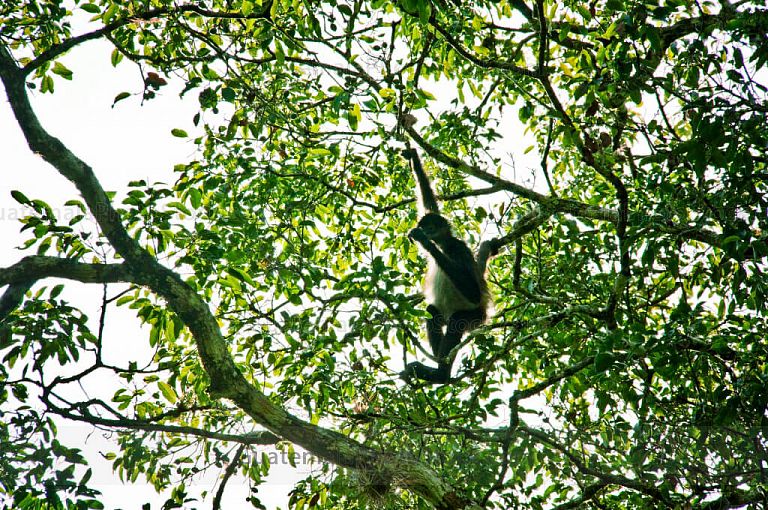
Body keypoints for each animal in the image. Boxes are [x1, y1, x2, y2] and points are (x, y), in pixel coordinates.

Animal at [400, 149, 493, 384]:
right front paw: (414, 158)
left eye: (431, 227)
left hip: (474, 316)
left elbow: (473, 291)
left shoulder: (459, 249)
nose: (426, 231)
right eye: (425, 224)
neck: (446, 245)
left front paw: (427, 243)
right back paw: (437, 364)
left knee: (456, 321)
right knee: (432, 313)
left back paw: (441, 374)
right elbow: (429, 202)